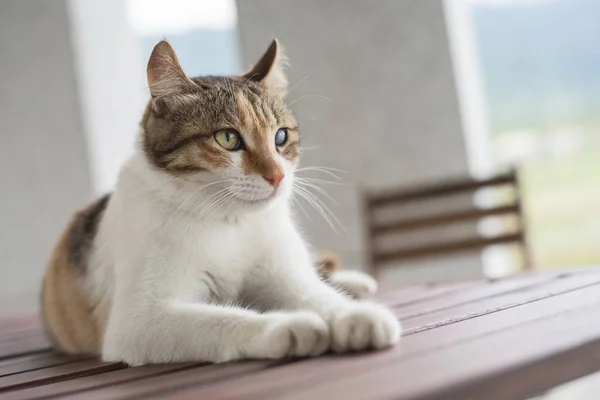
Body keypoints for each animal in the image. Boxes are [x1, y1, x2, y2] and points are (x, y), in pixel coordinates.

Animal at [41, 39, 398, 364]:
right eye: (228, 139)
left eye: (281, 137)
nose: (277, 176)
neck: (229, 222)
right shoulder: (139, 321)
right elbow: (223, 319)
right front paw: (287, 327)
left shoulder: (283, 274)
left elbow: (318, 296)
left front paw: (357, 316)